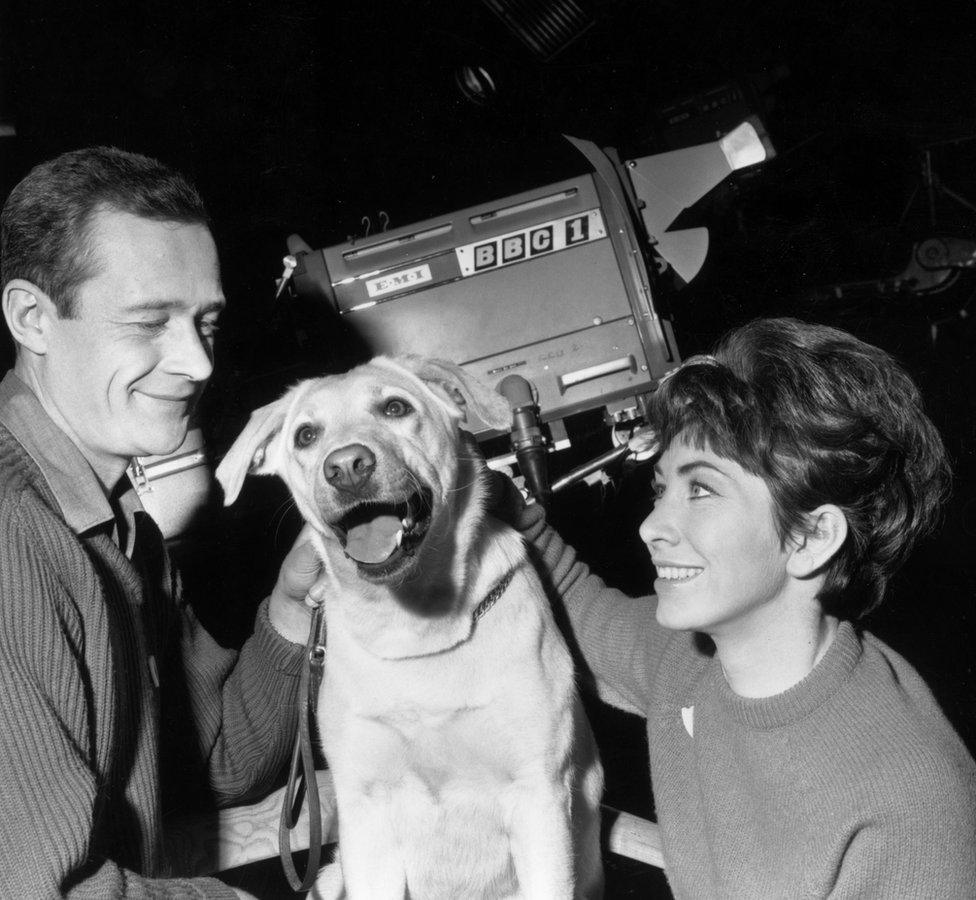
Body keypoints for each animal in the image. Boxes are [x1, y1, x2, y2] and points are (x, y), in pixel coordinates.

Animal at [217, 356, 608, 900]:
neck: (414, 630)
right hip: (332, 875)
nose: (347, 466)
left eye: (395, 408)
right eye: (306, 435)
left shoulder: (540, 799)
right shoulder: (366, 816)